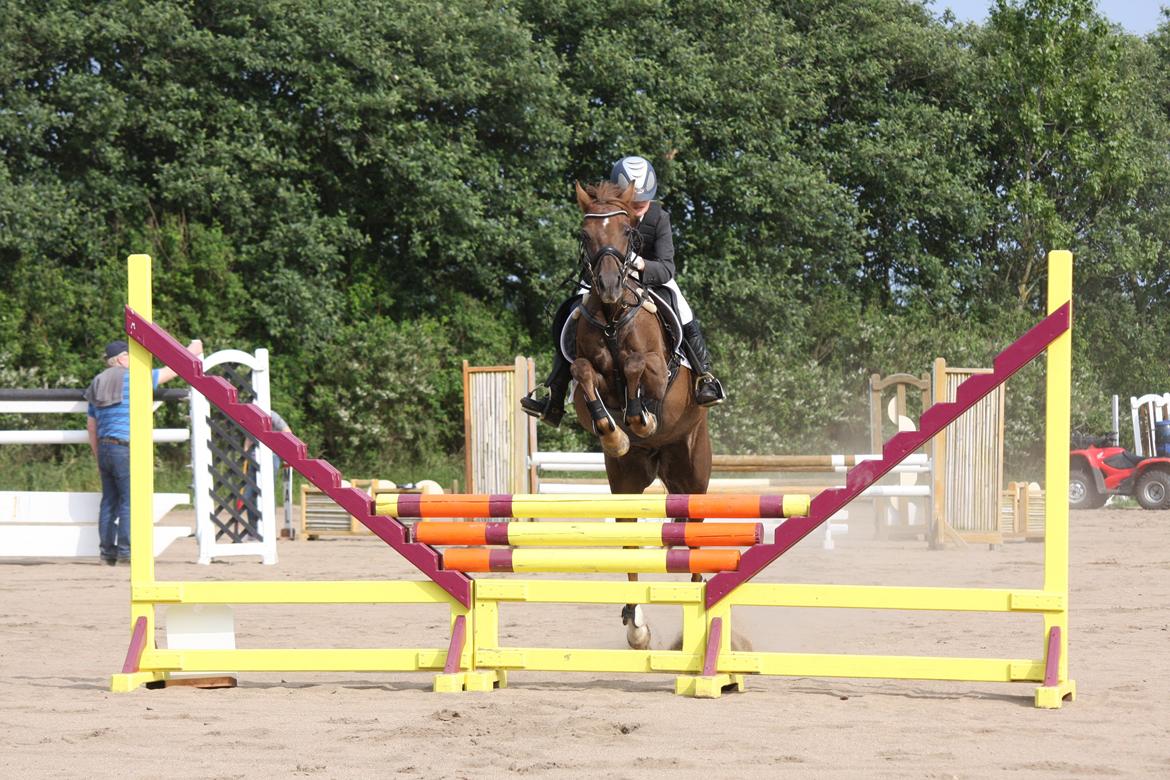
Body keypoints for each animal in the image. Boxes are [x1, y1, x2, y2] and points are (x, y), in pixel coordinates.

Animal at [570, 180, 713, 649]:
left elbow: (635, 365)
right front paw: (614, 431)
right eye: (586, 235)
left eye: (627, 233)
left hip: (692, 472)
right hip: (627, 480)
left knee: (696, 532)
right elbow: (583, 372)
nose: (610, 286)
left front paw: (640, 417)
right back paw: (636, 623)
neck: (615, 317)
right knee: (629, 536)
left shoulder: (656, 369)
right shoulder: (584, 372)